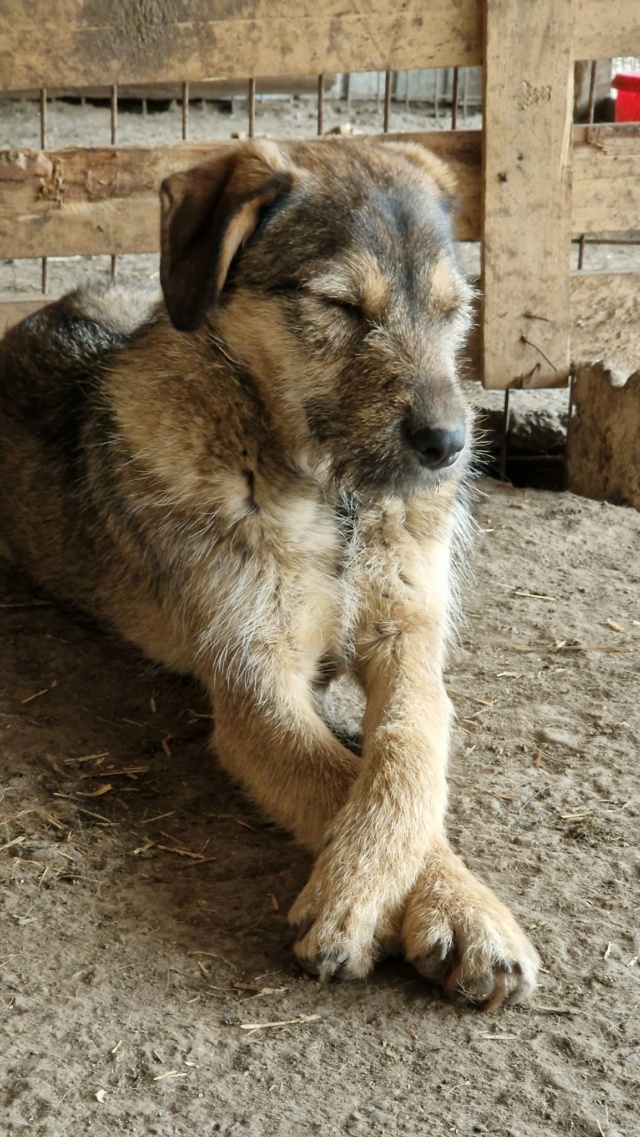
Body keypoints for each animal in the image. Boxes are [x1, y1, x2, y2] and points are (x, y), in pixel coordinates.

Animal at [0, 139, 541, 1005]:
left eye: (456, 308)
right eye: (340, 305)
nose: (450, 447)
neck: (337, 503)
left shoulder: (410, 638)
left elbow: (410, 745)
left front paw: (454, 905)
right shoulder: (254, 681)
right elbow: (333, 774)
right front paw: (375, 901)